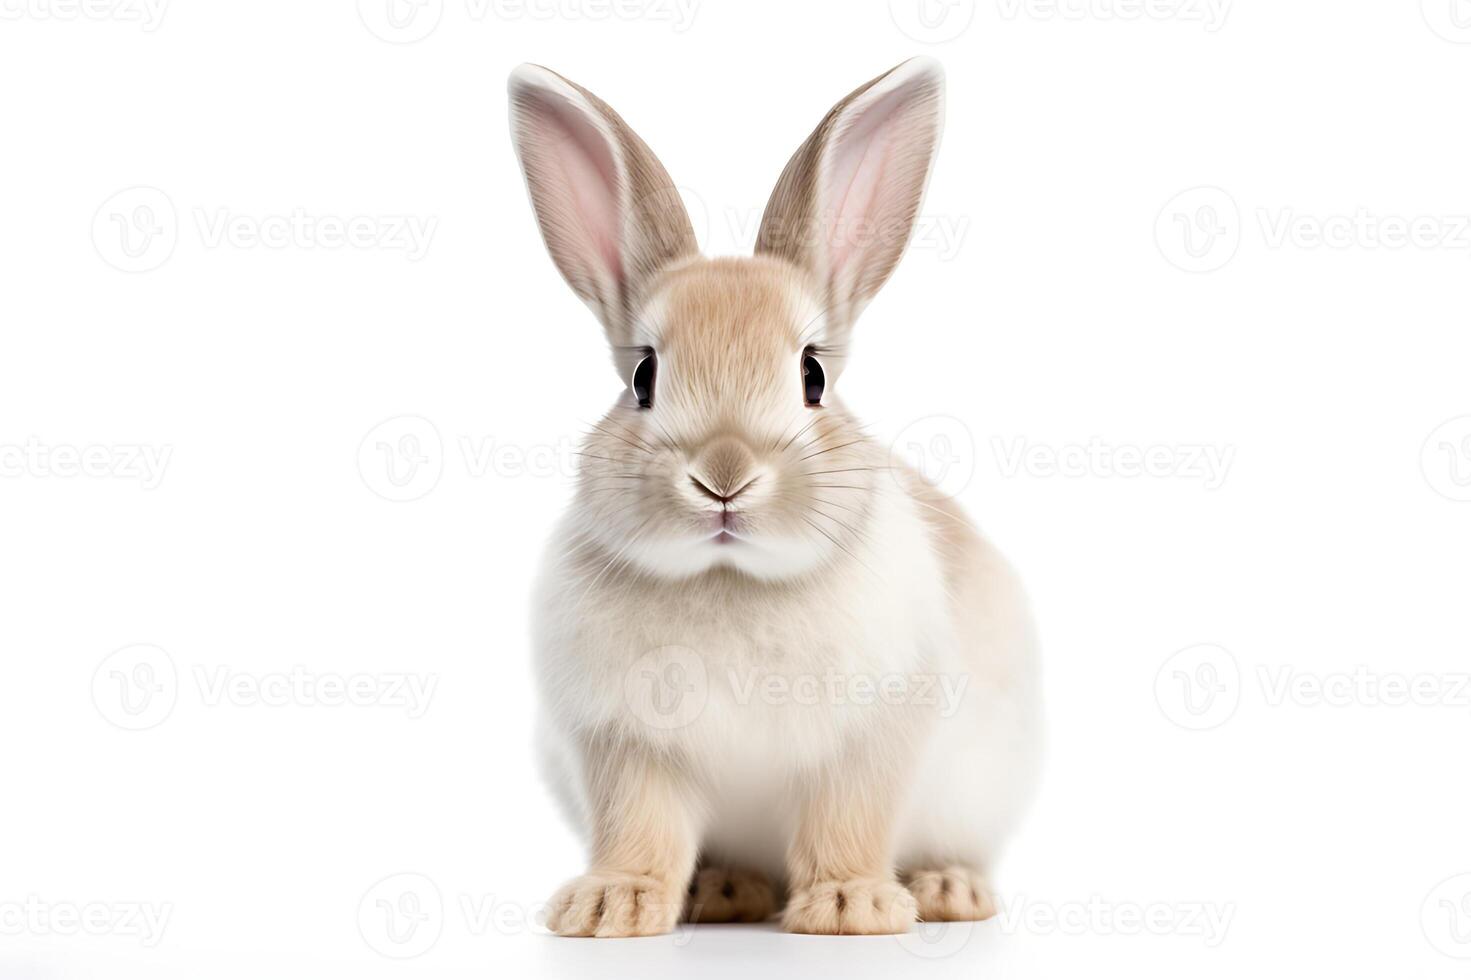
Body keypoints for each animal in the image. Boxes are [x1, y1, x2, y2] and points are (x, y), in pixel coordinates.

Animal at [511, 57, 1041, 935]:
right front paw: (610, 906)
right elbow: (639, 830)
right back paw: (722, 893)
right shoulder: (626, 748)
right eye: (643, 377)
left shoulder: (869, 740)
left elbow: (847, 821)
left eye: (812, 375)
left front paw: (851, 906)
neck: (730, 579)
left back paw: (945, 891)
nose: (723, 476)